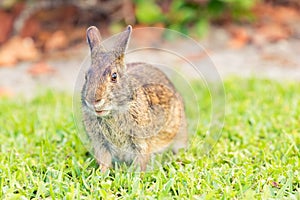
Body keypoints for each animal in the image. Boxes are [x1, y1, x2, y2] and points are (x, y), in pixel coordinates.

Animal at [81, 25, 186, 172]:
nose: (93, 101)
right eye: (86, 76)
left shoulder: (141, 142)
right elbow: (104, 162)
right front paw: (101, 175)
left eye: (114, 76)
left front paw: (135, 175)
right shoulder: (101, 144)